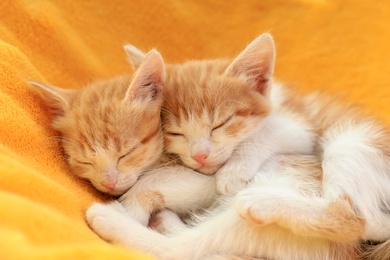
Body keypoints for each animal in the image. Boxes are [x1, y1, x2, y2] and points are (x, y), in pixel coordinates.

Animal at [86, 34, 390, 258]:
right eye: (176, 133)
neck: (275, 100)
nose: (200, 156)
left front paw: (233, 172)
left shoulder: (303, 127)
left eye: (220, 124)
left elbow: (265, 135)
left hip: (352, 138)